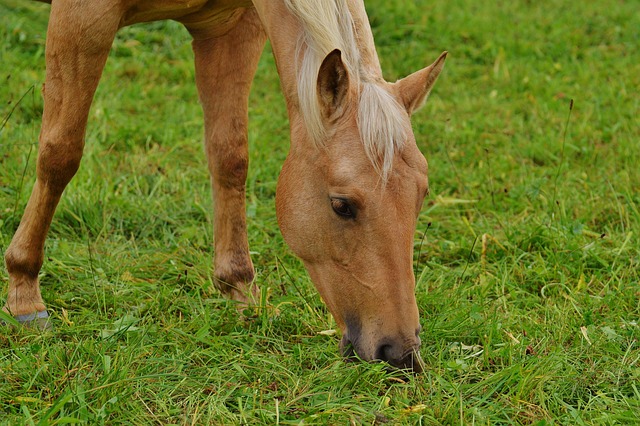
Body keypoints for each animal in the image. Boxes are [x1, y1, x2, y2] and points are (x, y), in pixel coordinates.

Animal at [3, 0, 444, 372]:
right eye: (341, 205)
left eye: (421, 196)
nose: (401, 353)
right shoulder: (81, 21)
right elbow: (59, 155)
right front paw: (24, 293)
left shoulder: (229, 28)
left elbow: (230, 157)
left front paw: (239, 290)